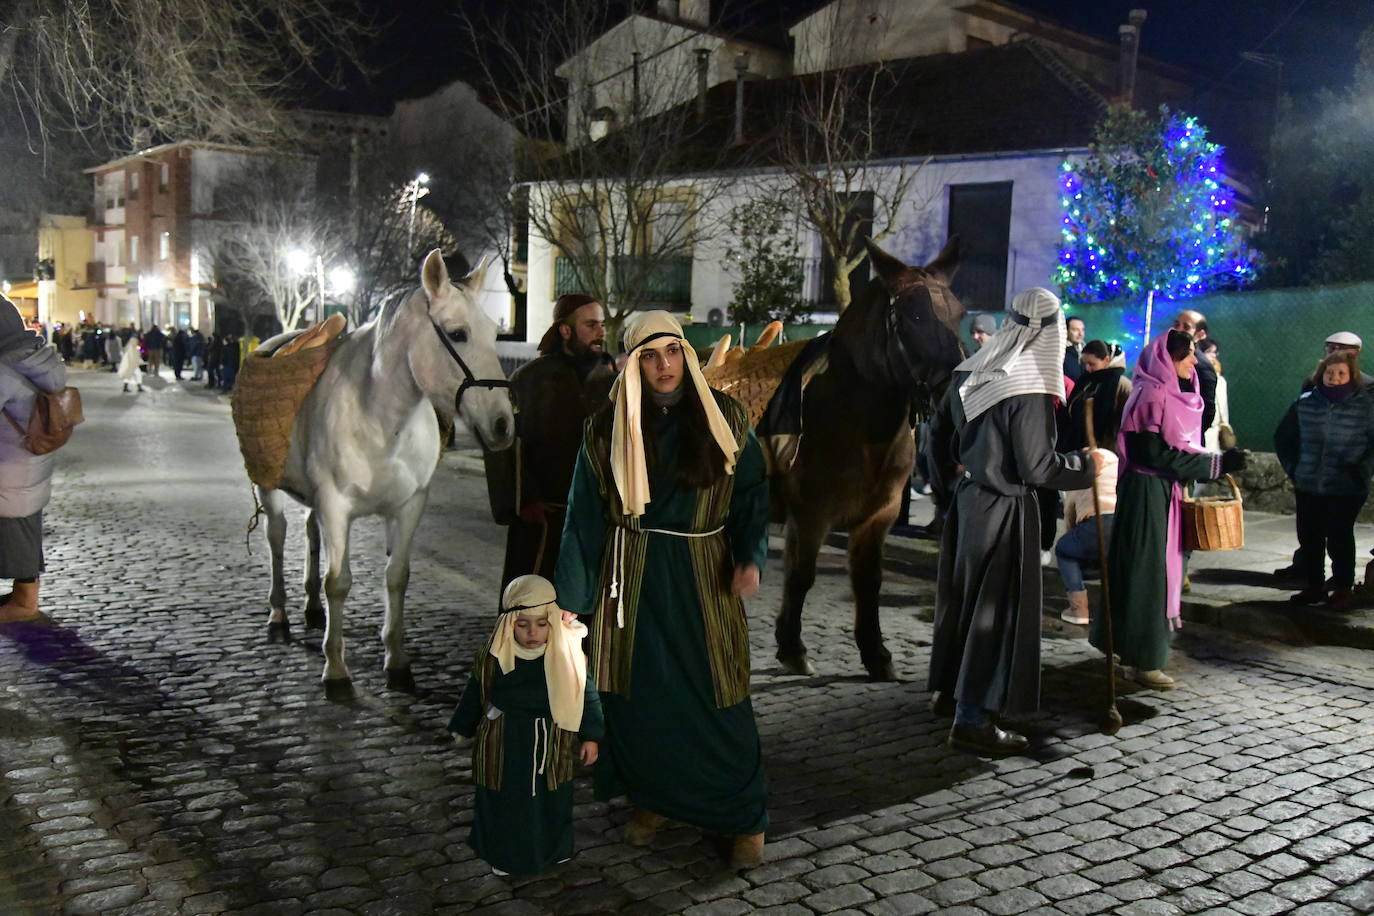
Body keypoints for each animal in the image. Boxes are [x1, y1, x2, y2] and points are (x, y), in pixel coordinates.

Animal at [258, 247, 516, 697]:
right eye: (458, 334)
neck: (379, 419)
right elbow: (338, 582)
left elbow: (396, 577)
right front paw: (336, 668)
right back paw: (279, 612)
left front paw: (396, 661)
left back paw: (311, 607)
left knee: (307, 534)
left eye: (493, 333)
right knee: (277, 537)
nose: (503, 424)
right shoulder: (335, 507)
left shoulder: (408, 506)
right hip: (267, 489)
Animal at [774, 238, 967, 681]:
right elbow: (800, 574)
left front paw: (876, 652)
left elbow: (867, 579)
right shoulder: (810, 514)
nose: (958, 388)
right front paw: (793, 648)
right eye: (913, 314)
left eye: (959, 313)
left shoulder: (878, 515)